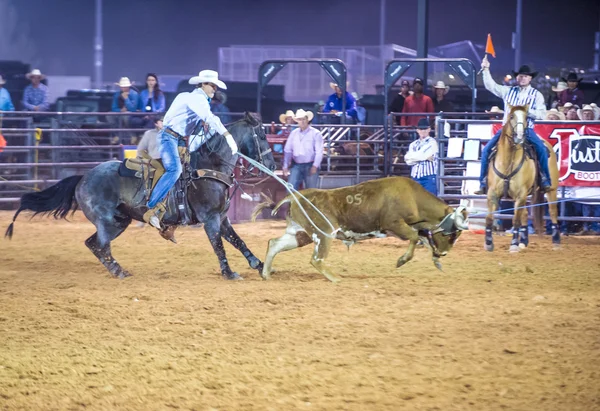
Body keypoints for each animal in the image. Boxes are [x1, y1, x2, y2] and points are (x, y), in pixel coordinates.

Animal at [5, 112, 276, 280]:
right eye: (262, 135)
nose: (273, 164)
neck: (209, 166)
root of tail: (81, 178)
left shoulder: (222, 217)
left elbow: (239, 241)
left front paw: (260, 265)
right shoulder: (210, 219)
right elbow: (219, 246)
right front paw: (229, 273)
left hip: (119, 220)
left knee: (93, 244)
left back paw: (118, 270)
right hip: (109, 222)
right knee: (101, 245)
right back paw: (119, 271)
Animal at [482, 104, 564, 253]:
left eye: (526, 117)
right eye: (511, 116)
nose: (519, 136)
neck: (508, 162)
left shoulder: (520, 194)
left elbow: (515, 220)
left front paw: (513, 244)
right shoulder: (492, 193)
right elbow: (489, 218)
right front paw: (489, 243)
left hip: (551, 190)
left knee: (553, 212)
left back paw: (556, 242)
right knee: (525, 214)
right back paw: (524, 241)